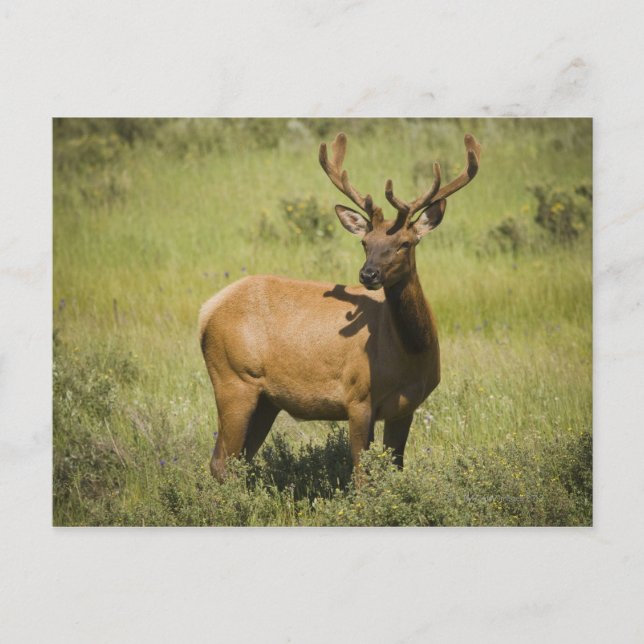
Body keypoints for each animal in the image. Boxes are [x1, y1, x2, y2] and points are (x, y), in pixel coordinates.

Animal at [199, 132, 481, 481]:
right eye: (365, 242)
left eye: (405, 242)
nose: (368, 274)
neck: (410, 354)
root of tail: (206, 310)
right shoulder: (357, 396)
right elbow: (361, 474)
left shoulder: (406, 407)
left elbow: (394, 469)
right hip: (233, 379)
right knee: (222, 461)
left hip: (265, 399)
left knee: (237, 459)